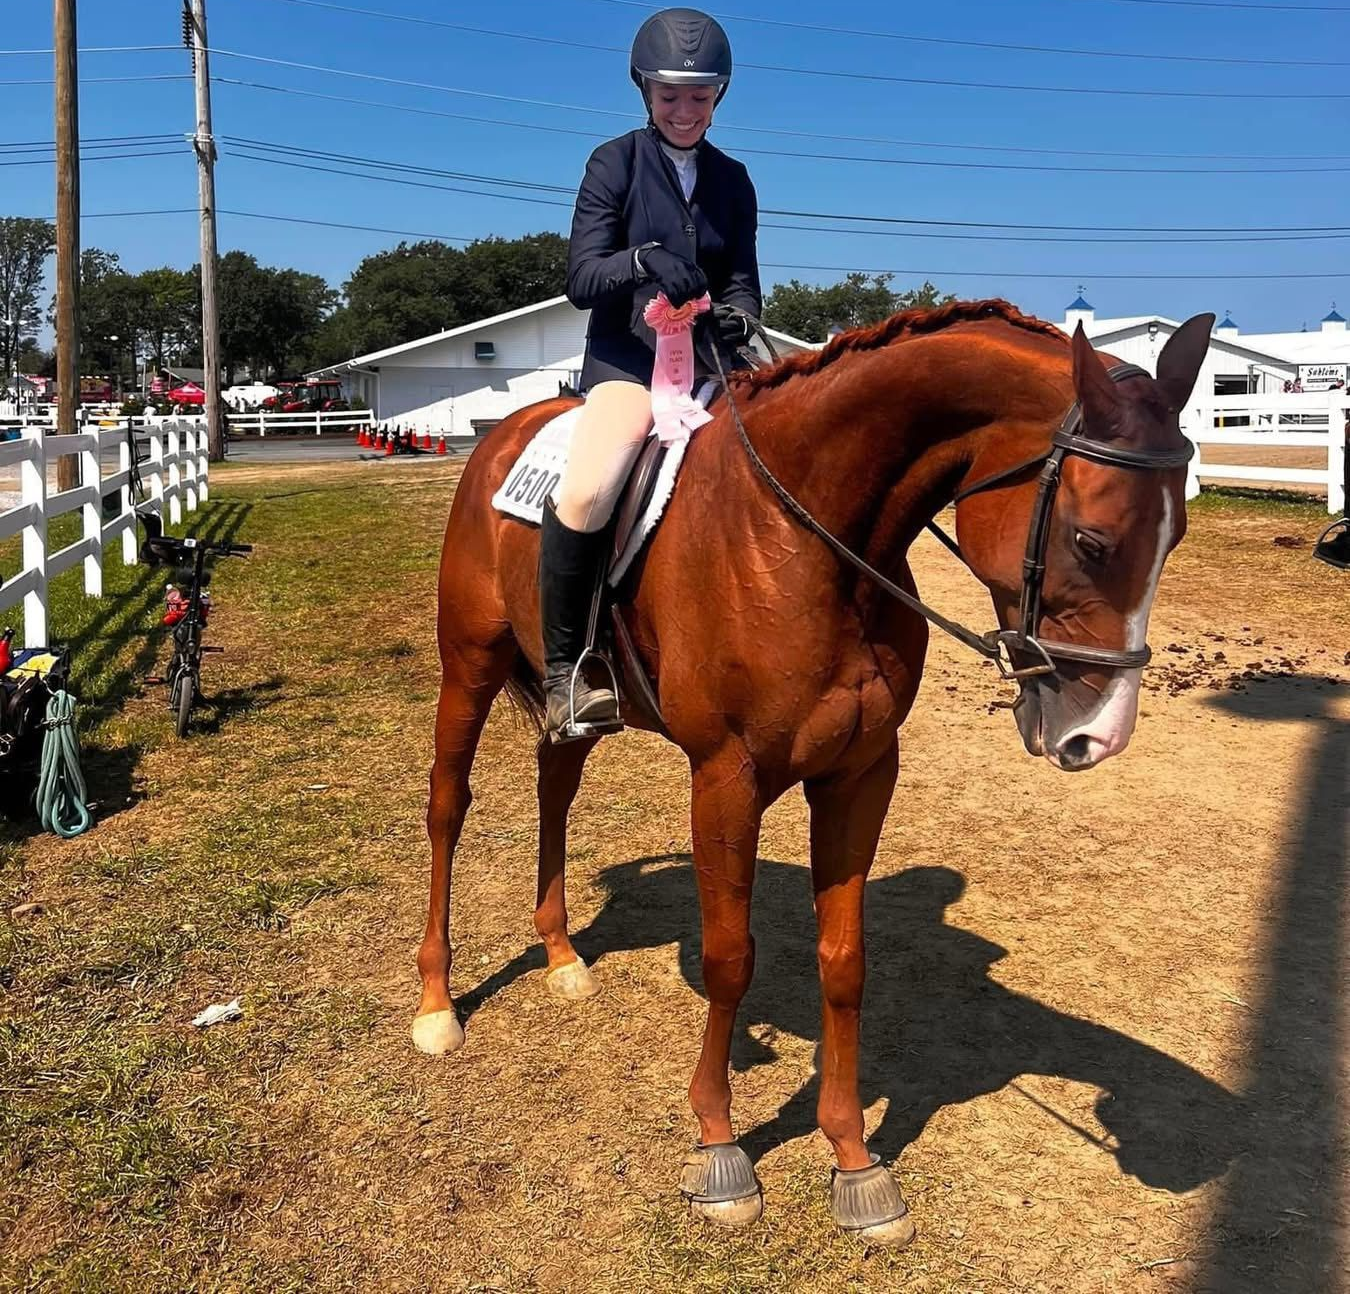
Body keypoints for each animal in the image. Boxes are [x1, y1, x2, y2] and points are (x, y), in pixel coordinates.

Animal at [412, 299, 1213, 1242]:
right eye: (1091, 540)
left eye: (1177, 536)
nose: (1098, 735)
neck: (807, 540)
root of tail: (503, 435)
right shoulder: (726, 778)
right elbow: (730, 956)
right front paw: (720, 1149)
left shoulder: (862, 774)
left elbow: (845, 962)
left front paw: (854, 1158)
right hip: (467, 665)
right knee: (448, 806)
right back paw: (437, 1005)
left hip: (569, 704)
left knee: (554, 788)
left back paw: (563, 955)